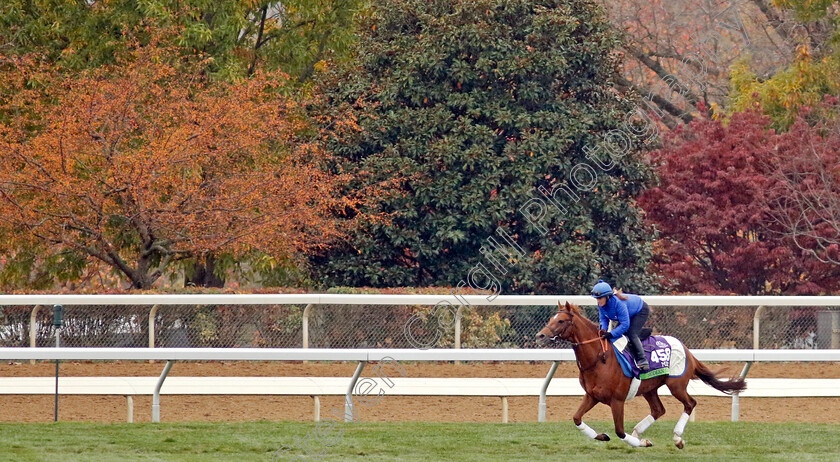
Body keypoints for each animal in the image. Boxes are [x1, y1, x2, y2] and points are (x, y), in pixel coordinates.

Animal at [536, 300, 744, 448]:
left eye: (561, 320)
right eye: (550, 319)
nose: (540, 335)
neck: (598, 359)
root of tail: (687, 349)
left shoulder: (617, 400)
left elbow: (620, 431)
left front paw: (642, 443)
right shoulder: (592, 395)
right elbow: (577, 418)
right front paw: (602, 436)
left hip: (676, 385)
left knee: (690, 403)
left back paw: (677, 438)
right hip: (649, 388)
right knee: (659, 410)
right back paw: (637, 432)